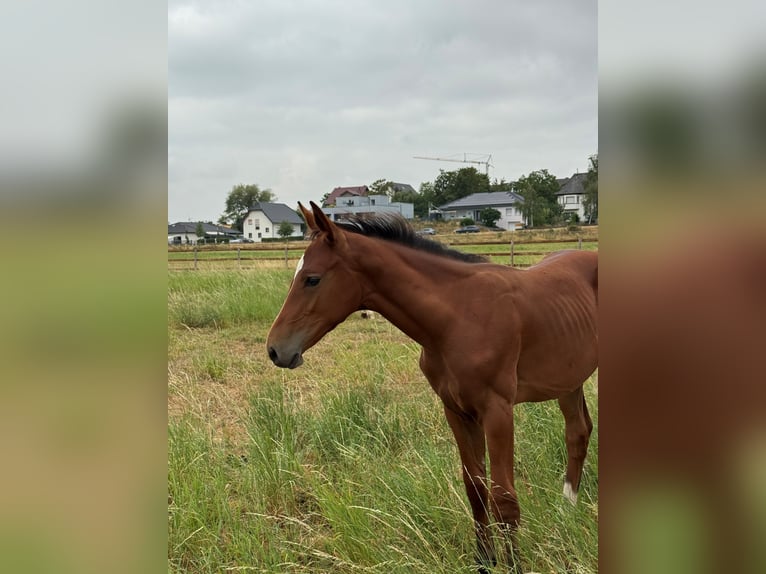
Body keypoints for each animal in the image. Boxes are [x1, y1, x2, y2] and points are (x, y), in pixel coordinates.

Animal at [267, 202, 598, 572]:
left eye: (312, 278)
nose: (276, 350)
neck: (458, 316)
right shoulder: (456, 410)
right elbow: (475, 488)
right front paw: (484, 560)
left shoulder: (498, 410)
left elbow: (504, 495)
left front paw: (513, 564)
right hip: (568, 378)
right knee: (578, 432)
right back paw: (566, 512)